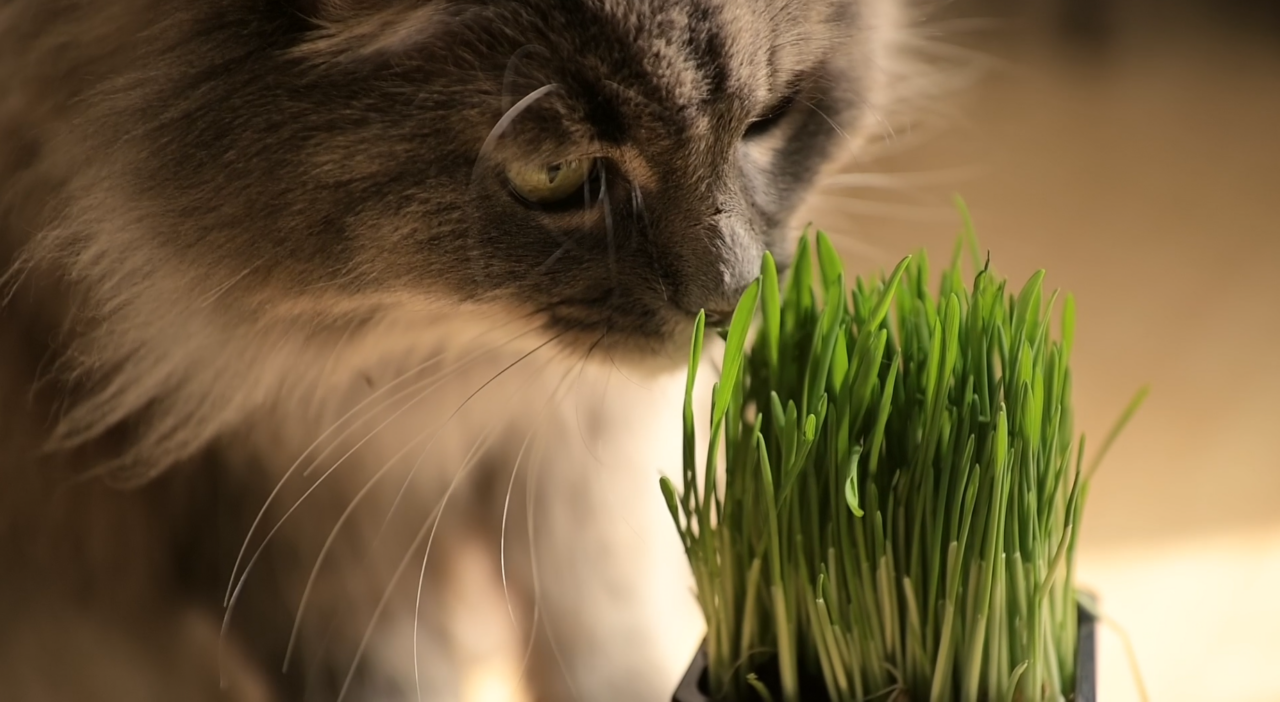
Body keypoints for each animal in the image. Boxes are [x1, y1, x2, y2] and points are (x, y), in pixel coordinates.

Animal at [5, 1, 916, 702]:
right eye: (554, 173)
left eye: (769, 121)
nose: (728, 301)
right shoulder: (298, 513)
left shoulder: (580, 487)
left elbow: (604, 647)